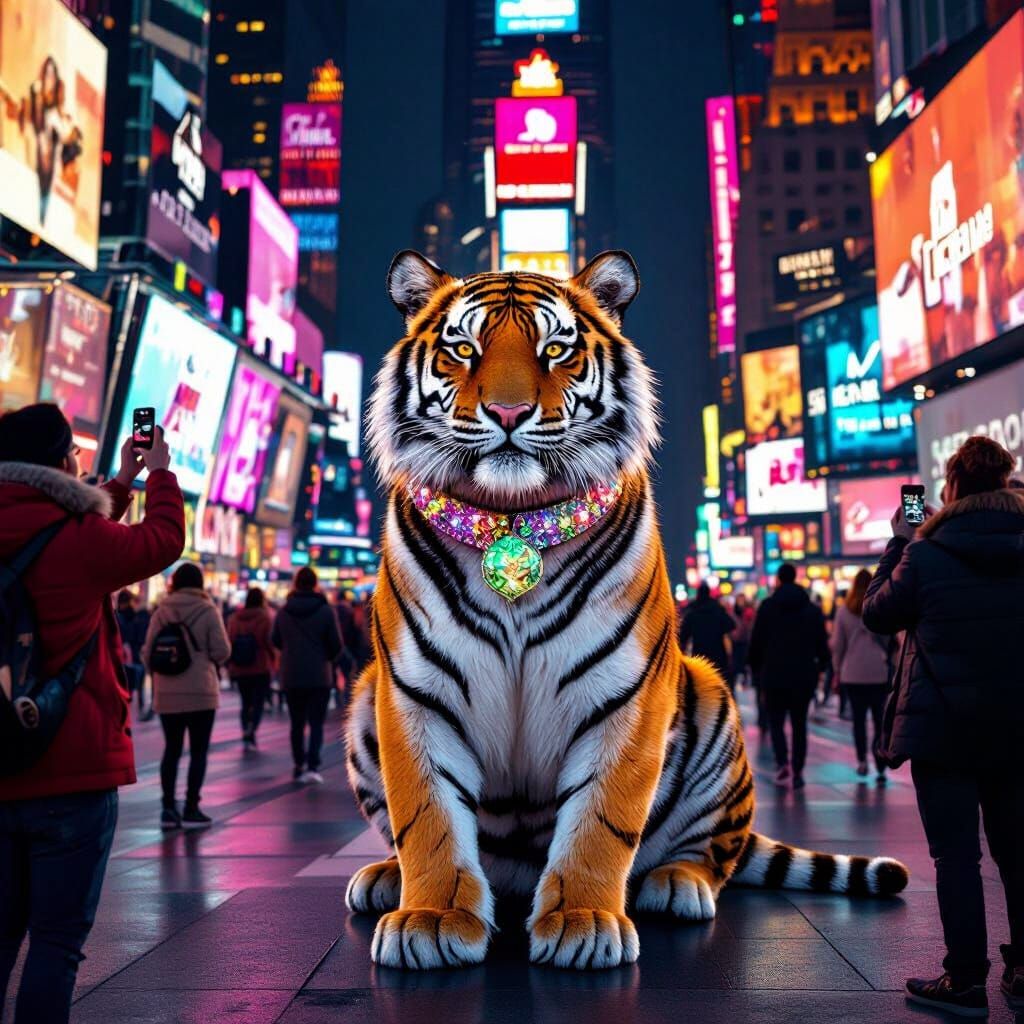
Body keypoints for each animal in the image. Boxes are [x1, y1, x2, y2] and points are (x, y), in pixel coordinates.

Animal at [344, 249, 909, 971]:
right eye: (463, 349)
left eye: (555, 349)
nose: (507, 411)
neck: (511, 518)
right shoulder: (416, 694)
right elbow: (428, 818)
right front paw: (433, 918)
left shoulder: (626, 694)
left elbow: (602, 821)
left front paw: (582, 922)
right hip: (365, 693)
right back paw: (387, 877)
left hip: (711, 694)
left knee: (713, 850)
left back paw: (678, 883)